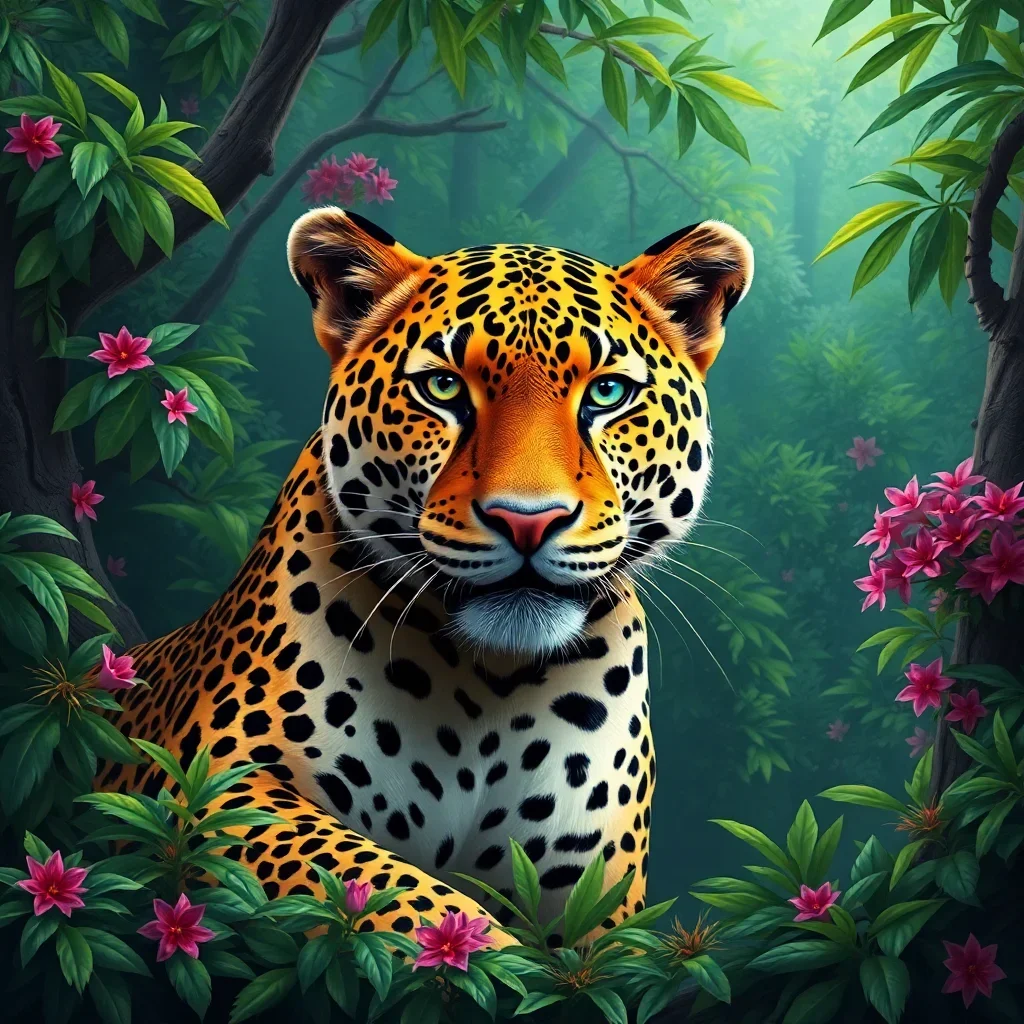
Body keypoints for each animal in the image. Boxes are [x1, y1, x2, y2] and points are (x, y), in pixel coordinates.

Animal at [96, 207, 753, 944]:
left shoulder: (596, 888)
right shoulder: (215, 780)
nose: (528, 520)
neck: (492, 682)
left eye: (609, 392)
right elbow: (398, 894)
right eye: (442, 388)